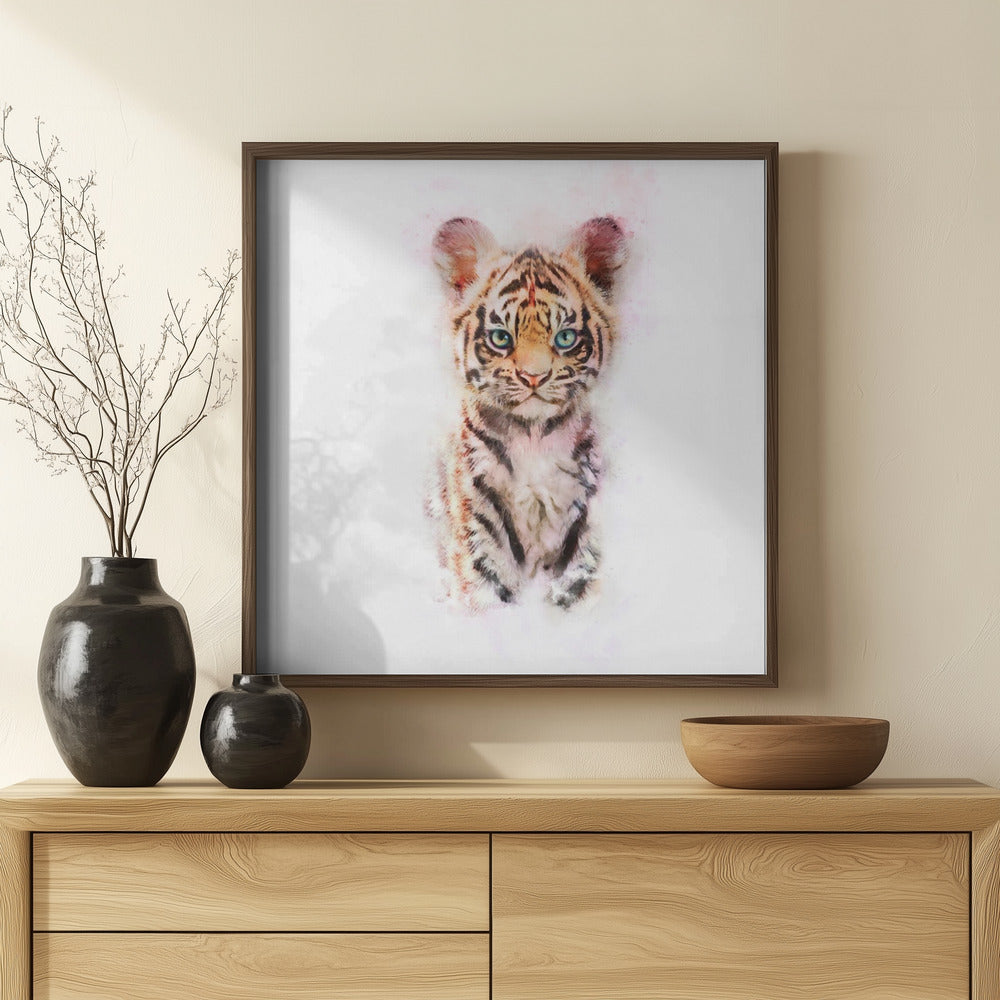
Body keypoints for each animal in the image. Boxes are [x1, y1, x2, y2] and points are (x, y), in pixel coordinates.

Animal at [428, 215, 629, 611]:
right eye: (501, 338)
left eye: (565, 338)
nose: (533, 376)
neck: (534, 438)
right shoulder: (479, 509)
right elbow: (488, 581)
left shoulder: (585, 515)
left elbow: (577, 581)